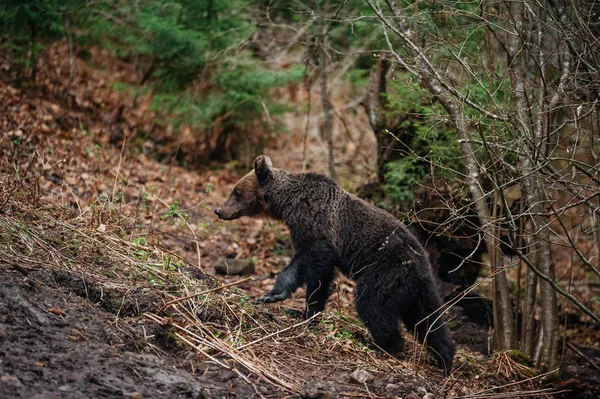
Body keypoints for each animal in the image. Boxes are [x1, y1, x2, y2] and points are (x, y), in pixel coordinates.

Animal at [216, 155, 454, 376]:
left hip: (386, 271)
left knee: (372, 304)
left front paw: (273, 294)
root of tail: (423, 262)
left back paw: (382, 345)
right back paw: (445, 360)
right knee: (429, 320)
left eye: (235, 192)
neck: (286, 203)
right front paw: (306, 312)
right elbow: (321, 278)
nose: (219, 210)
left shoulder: (315, 223)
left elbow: (310, 257)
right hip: (414, 288)